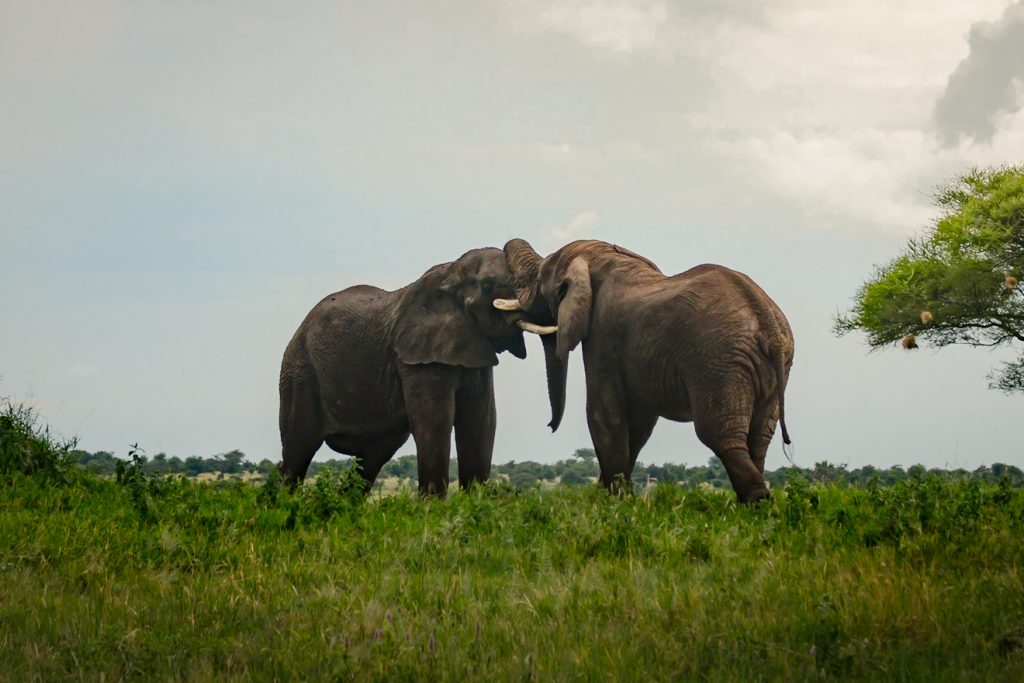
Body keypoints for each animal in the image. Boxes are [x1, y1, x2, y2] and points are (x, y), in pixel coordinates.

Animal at [278, 247, 555, 495]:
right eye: (488, 284)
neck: (451, 273)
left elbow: (481, 421)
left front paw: (474, 502)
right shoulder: (417, 360)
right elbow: (436, 421)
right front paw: (433, 509)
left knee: (371, 459)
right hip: (300, 372)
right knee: (297, 451)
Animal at [498, 238, 793, 503]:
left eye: (540, 280)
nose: (549, 426)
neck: (602, 256)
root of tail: (765, 317)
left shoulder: (602, 335)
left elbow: (603, 414)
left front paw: (612, 502)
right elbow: (639, 422)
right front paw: (617, 497)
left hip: (718, 362)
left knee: (720, 435)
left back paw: (756, 504)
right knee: (758, 437)